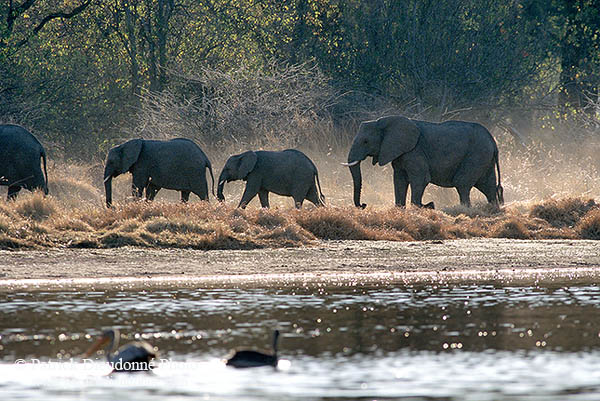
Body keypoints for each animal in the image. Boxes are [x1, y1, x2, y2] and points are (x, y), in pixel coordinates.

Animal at [342, 115, 502, 208]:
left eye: (365, 141)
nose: (363, 204)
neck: (383, 122)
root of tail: (493, 141)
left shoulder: (414, 151)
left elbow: (420, 179)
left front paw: (420, 207)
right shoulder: (400, 153)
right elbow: (399, 180)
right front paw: (400, 209)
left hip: (476, 155)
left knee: (462, 183)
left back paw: (466, 210)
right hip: (484, 158)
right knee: (488, 186)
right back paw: (493, 210)